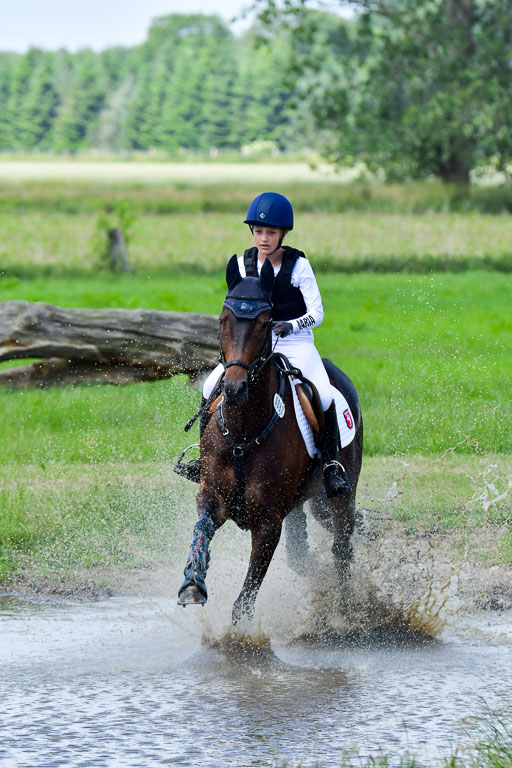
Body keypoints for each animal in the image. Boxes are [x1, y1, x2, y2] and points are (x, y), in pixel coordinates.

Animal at [177, 255, 363, 625]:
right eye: (223, 319)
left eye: (265, 323)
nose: (235, 388)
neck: (243, 431)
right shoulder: (212, 498)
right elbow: (200, 530)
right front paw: (192, 583)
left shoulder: (268, 523)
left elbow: (245, 601)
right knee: (302, 554)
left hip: (341, 496)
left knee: (341, 549)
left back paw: (347, 611)